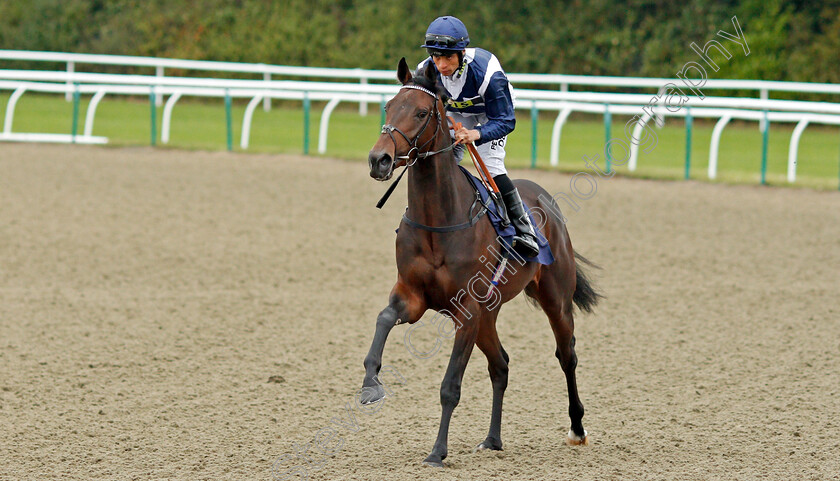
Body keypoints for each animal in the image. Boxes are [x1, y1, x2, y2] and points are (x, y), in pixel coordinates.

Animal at [358, 58, 600, 466]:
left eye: (421, 113)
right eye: (388, 106)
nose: (380, 159)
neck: (439, 219)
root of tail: (547, 201)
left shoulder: (466, 310)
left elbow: (450, 386)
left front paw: (437, 452)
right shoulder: (414, 295)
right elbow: (384, 318)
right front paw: (370, 384)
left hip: (554, 298)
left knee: (567, 355)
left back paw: (577, 429)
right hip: (489, 313)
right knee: (500, 364)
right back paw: (492, 439)